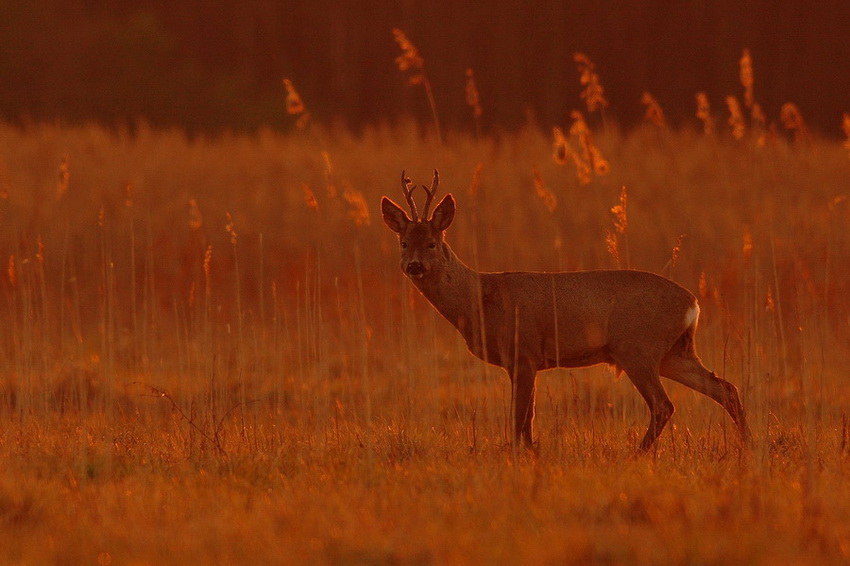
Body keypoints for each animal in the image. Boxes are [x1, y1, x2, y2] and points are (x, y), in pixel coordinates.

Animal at [378, 169, 748, 452]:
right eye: (404, 242)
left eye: (432, 243)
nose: (413, 266)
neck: (479, 299)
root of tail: (693, 303)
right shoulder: (528, 361)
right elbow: (528, 417)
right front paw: (530, 451)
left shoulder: (523, 351)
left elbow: (520, 416)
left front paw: (518, 453)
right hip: (674, 353)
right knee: (725, 388)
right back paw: (747, 446)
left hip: (637, 347)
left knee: (663, 404)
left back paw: (638, 452)